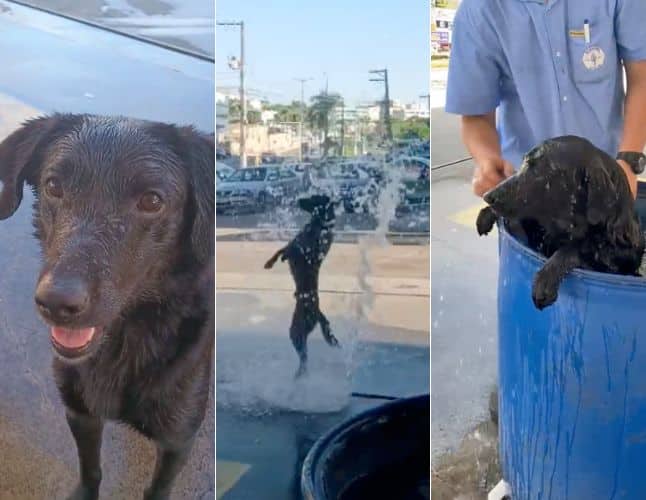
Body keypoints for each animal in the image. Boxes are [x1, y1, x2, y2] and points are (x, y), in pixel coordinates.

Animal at [0, 114, 215, 500]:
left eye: (152, 200)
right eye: (53, 185)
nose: (56, 302)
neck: (125, 342)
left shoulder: (177, 441)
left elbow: (158, 488)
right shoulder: (79, 412)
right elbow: (90, 469)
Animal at [266, 193, 342, 376]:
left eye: (314, 198)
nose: (299, 200)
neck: (320, 225)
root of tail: (318, 312)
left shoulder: (296, 248)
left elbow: (284, 251)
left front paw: (271, 262)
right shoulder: (292, 245)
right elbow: (280, 250)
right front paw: (271, 262)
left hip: (296, 332)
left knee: (304, 358)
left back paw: (300, 375)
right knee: (305, 357)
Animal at [478, 136, 644, 308]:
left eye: (538, 169)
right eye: (524, 163)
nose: (487, 196)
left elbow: (576, 248)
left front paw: (546, 277)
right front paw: (487, 213)